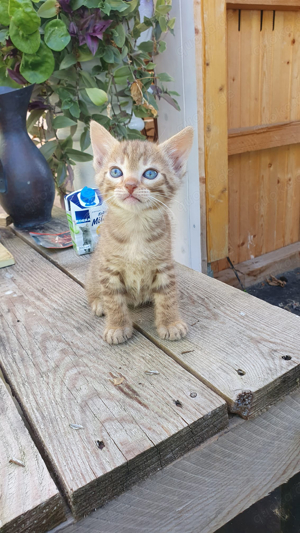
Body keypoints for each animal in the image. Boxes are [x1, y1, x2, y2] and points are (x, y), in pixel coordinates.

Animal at [86, 120, 195, 344]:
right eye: (116, 172)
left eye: (150, 173)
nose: (130, 185)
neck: (135, 226)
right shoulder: (108, 267)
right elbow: (113, 299)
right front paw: (117, 326)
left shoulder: (164, 265)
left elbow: (167, 295)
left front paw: (170, 322)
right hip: (94, 269)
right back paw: (98, 302)